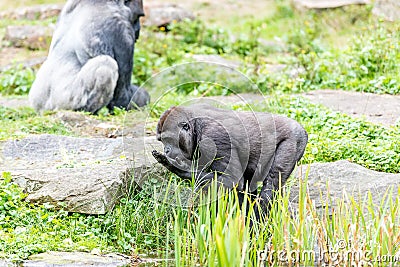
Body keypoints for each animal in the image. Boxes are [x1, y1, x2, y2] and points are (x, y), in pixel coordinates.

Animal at [153, 103, 310, 219]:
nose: (166, 150)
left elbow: (232, 180)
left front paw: (178, 167)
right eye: (161, 140)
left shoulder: (214, 137)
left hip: (294, 139)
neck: (195, 126)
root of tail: (301, 128)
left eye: (169, 139)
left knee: (271, 183)